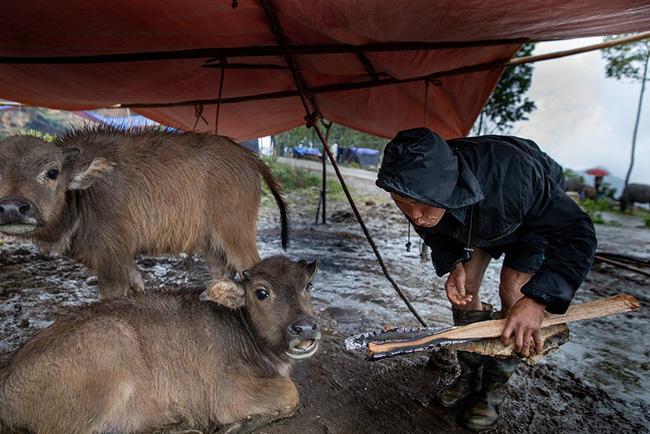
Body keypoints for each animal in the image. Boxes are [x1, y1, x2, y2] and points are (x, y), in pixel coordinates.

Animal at [0, 126, 288, 298]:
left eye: (52, 172)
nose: (12, 208)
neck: (83, 195)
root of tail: (247, 156)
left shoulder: (111, 260)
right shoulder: (123, 258)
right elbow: (137, 287)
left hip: (236, 235)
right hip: (212, 245)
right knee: (222, 274)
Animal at [0, 256, 318, 432]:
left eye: (308, 285)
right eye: (261, 292)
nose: (304, 328)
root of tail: (8, 371)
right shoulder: (229, 394)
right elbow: (291, 392)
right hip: (110, 339)